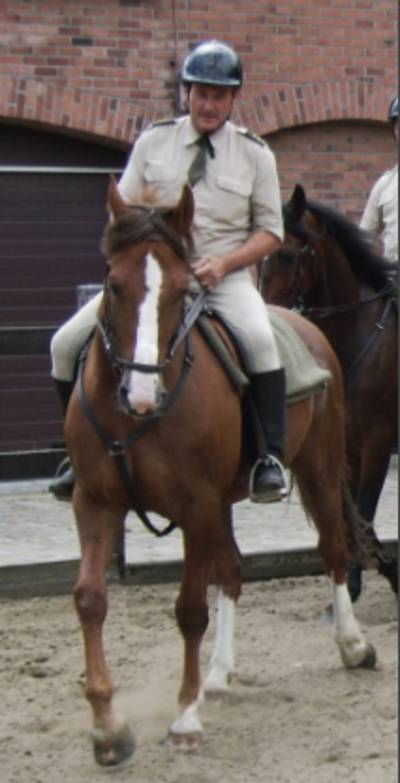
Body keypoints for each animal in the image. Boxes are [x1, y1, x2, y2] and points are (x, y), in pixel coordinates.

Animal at [65, 179, 377, 767]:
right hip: (228, 500)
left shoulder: (196, 506)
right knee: (232, 572)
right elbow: (91, 599)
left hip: (320, 469)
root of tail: (303, 322)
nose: (141, 395)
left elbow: (190, 609)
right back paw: (217, 674)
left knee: (333, 550)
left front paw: (185, 719)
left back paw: (353, 645)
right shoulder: (96, 502)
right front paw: (108, 730)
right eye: (113, 285)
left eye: (182, 290)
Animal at [260, 183, 398, 603]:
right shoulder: (347, 445)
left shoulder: (377, 443)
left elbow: (364, 516)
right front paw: (357, 580)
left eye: (288, 254)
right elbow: (349, 517)